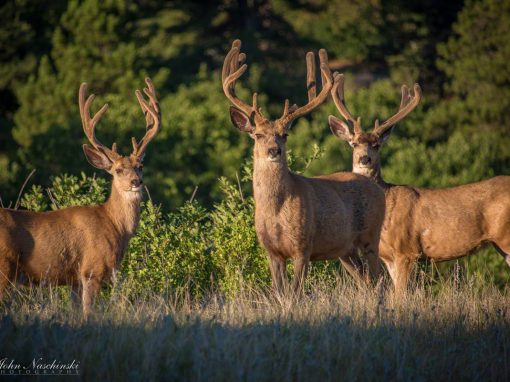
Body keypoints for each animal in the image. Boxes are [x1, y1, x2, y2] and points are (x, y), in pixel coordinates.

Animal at [0, 77, 161, 316]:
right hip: (5, 267)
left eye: (140, 166)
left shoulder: (74, 280)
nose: (136, 182)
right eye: (118, 170)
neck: (115, 226)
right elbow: (88, 313)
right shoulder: (92, 270)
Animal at [326, 75, 510, 296]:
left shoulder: (407, 251)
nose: (364, 159)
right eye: (353, 143)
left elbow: (400, 297)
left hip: (506, 236)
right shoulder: (389, 257)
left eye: (377, 145)